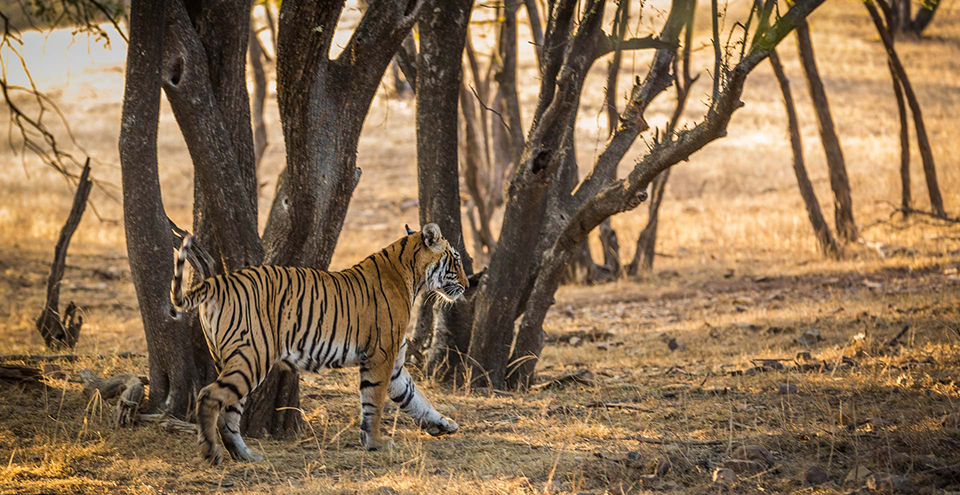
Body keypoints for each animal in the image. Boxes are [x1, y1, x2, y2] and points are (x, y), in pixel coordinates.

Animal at [170, 223, 467, 465]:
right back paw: (211, 452)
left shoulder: (394, 365)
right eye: (456, 260)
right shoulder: (381, 356)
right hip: (251, 358)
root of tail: (217, 281)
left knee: (229, 414)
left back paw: (245, 455)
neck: (412, 275)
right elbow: (375, 403)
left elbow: (416, 397)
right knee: (209, 396)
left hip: (233, 359)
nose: (466, 285)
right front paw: (376, 443)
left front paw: (443, 424)